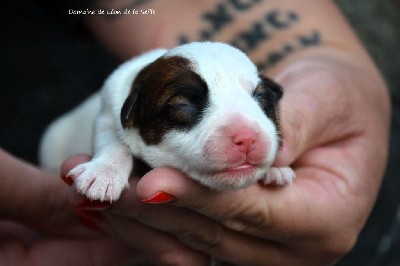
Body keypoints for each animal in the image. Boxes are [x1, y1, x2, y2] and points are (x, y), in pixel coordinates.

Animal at [39, 41, 294, 202]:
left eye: (259, 96)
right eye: (182, 105)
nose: (247, 138)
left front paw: (277, 169)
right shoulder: (108, 113)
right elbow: (113, 141)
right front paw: (102, 173)